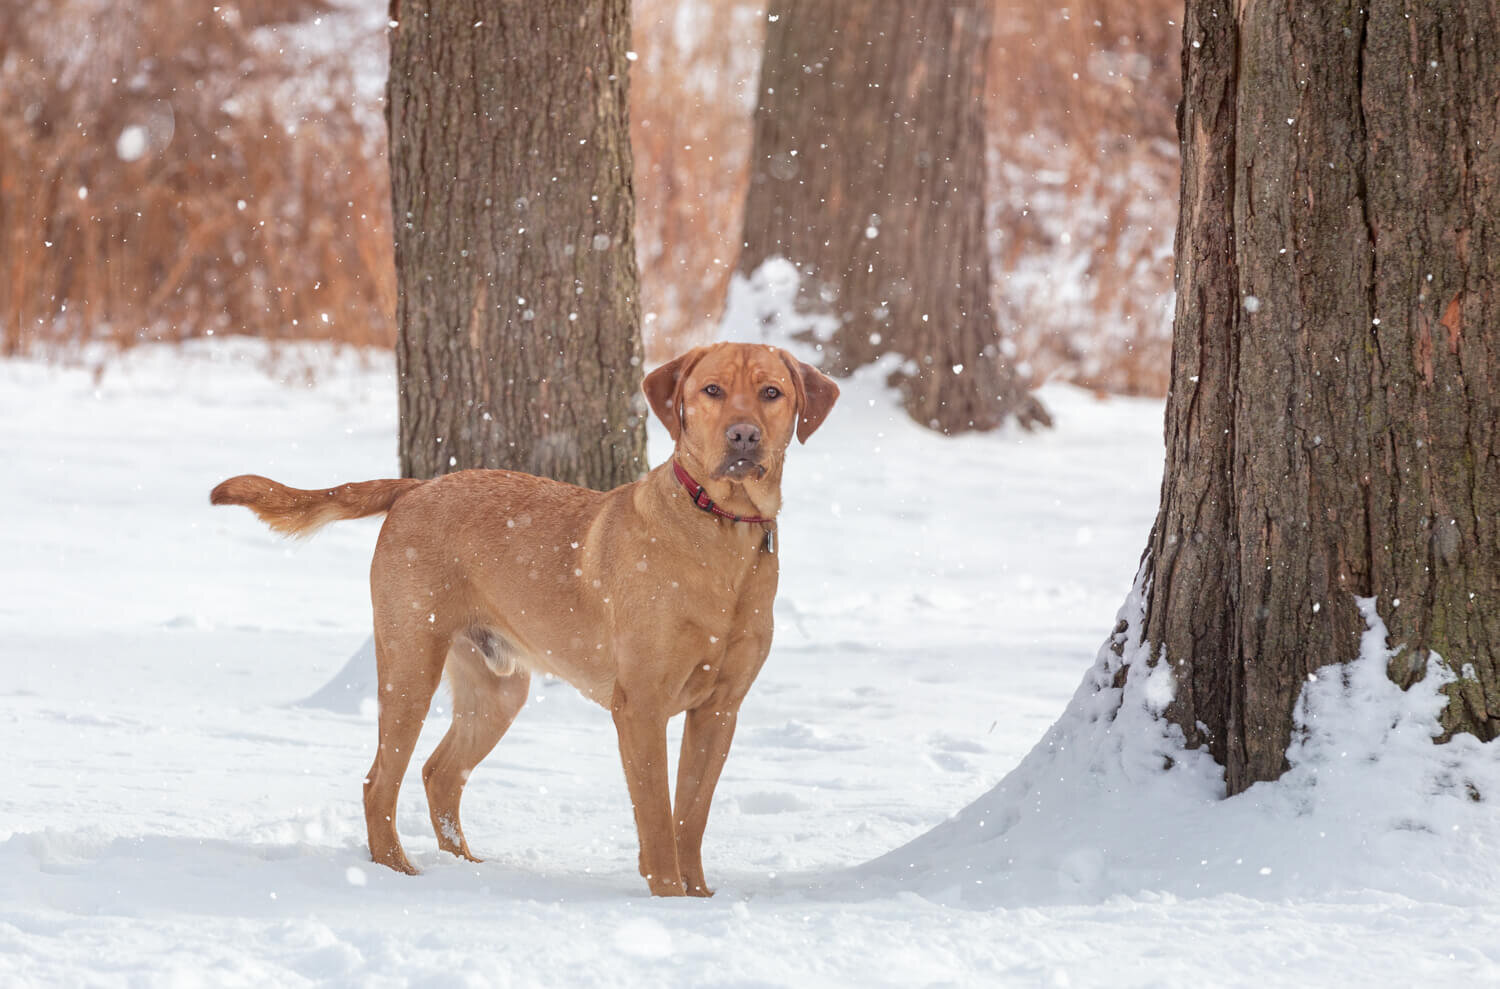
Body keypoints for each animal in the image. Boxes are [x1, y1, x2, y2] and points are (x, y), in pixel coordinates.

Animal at [211, 340, 840, 900]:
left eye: (771, 393)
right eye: (712, 391)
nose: (744, 435)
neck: (721, 529)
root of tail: (418, 486)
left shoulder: (720, 709)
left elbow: (692, 814)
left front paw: (701, 897)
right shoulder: (641, 705)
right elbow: (658, 817)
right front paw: (668, 896)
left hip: (497, 689)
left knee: (440, 774)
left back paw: (466, 867)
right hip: (411, 664)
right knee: (378, 783)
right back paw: (401, 874)